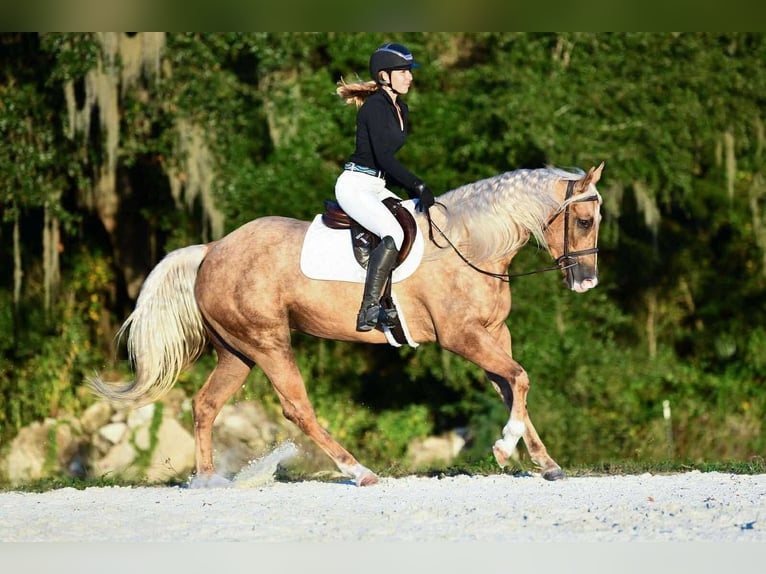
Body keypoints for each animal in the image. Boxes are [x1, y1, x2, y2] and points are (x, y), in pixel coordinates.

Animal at [90, 162, 605, 486]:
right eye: (583, 221)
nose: (588, 282)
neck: (469, 245)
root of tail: (212, 249)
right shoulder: (462, 337)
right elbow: (520, 377)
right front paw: (504, 449)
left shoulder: (494, 333)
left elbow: (511, 386)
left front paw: (544, 461)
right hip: (268, 343)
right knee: (296, 408)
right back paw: (358, 471)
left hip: (238, 353)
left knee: (205, 405)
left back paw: (207, 481)